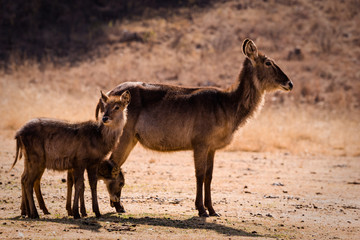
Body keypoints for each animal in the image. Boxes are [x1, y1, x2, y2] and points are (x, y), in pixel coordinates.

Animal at [97, 38, 292, 217]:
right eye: (268, 62)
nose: (289, 83)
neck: (227, 104)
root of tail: (107, 96)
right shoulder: (200, 144)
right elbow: (199, 174)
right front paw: (201, 209)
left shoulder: (212, 148)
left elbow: (209, 176)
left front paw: (212, 210)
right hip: (124, 137)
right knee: (111, 164)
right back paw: (118, 206)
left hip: (131, 139)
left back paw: (117, 205)